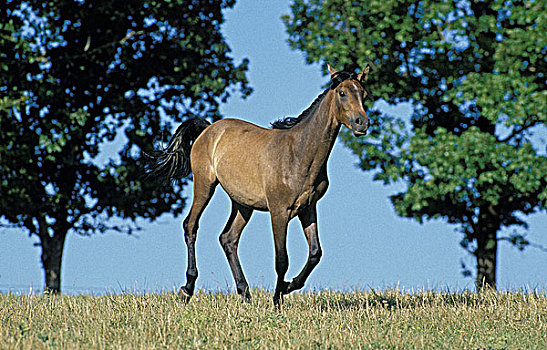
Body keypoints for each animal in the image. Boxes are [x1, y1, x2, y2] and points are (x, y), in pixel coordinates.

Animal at [148, 64, 374, 304]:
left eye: (363, 94)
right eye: (342, 92)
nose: (362, 123)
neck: (298, 154)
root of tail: (208, 129)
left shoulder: (308, 208)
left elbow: (315, 253)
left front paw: (289, 286)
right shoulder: (279, 211)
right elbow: (282, 259)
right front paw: (278, 298)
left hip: (242, 204)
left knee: (228, 238)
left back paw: (245, 293)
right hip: (204, 185)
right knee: (191, 225)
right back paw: (187, 289)